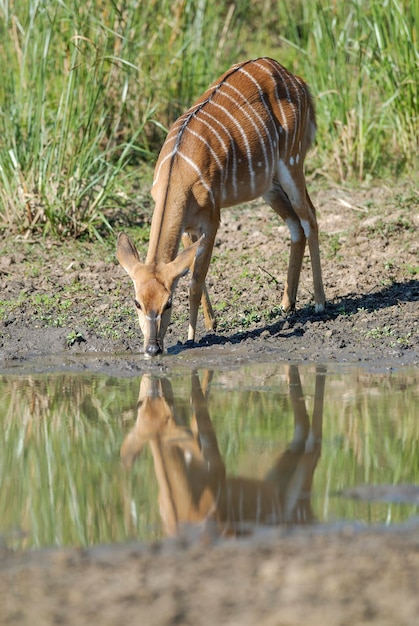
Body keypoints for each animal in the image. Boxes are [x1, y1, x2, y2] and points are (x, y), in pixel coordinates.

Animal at [116, 58, 326, 356]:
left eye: (169, 303)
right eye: (137, 302)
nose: (153, 349)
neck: (178, 171)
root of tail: (296, 79)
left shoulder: (212, 219)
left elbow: (195, 280)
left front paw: (192, 335)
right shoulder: (187, 225)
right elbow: (194, 272)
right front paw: (210, 323)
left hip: (292, 163)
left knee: (310, 217)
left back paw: (320, 303)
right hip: (269, 185)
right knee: (295, 225)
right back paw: (287, 304)